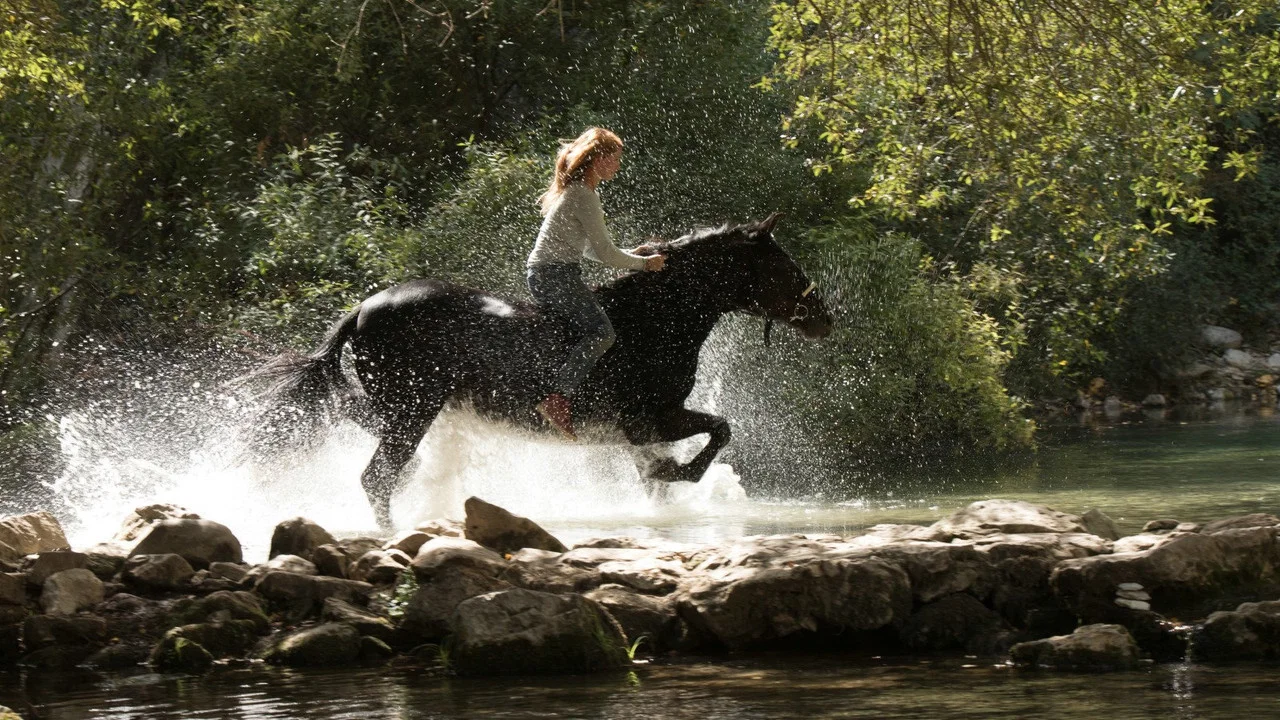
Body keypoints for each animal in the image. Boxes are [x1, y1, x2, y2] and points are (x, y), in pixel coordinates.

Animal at [245, 213, 834, 529]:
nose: (825, 320)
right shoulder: (649, 419)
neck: (653, 320)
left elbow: (664, 478)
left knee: (355, 418)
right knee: (374, 476)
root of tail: (366, 307)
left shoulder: (642, 430)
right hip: (413, 407)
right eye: (783, 265)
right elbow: (719, 431)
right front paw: (681, 473)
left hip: (408, 407)